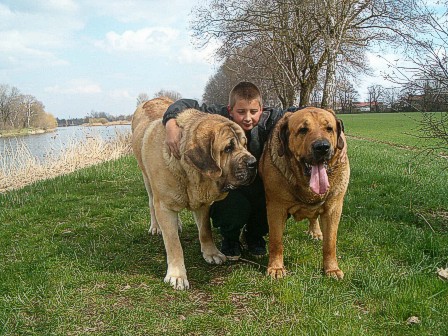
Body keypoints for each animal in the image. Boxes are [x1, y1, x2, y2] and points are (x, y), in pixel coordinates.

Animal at [130, 96, 256, 288]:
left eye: (244, 144)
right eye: (228, 148)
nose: (253, 163)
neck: (191, 173)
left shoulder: (203, 203)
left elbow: (205, 230)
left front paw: (211, 253)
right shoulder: (164, 206)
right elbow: (173, 243)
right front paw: (177, 275)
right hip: (147, 180)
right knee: (152, 203)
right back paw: (156, 226)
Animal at [260, 106, 350, 280]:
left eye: (329, 128)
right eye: (303, 130)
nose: (322, 147)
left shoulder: (334, 208)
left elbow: (330, 243)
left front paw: (332, 269)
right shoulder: (275, 208)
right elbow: (276, 241)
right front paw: (276, 267)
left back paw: (315, 232)